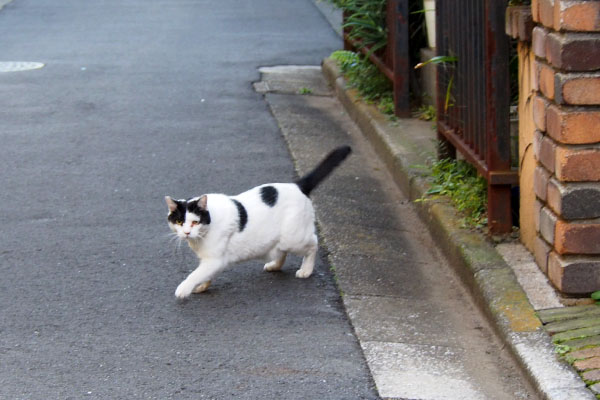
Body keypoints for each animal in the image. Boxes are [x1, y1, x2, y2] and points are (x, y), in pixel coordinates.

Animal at [165, 145, 352, 298]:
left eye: (195, 222)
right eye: (180, 222)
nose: (187, 232)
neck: (200, 238)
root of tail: (297, 185)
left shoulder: (215, 260)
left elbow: (194, 274)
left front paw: (184, 289)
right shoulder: (209, 261)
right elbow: (204, 274)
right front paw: (202, 286)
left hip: (294, 238)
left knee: (313, 244)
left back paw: (306, 270)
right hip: (280, 240)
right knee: (282, 252)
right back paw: (274, 266)